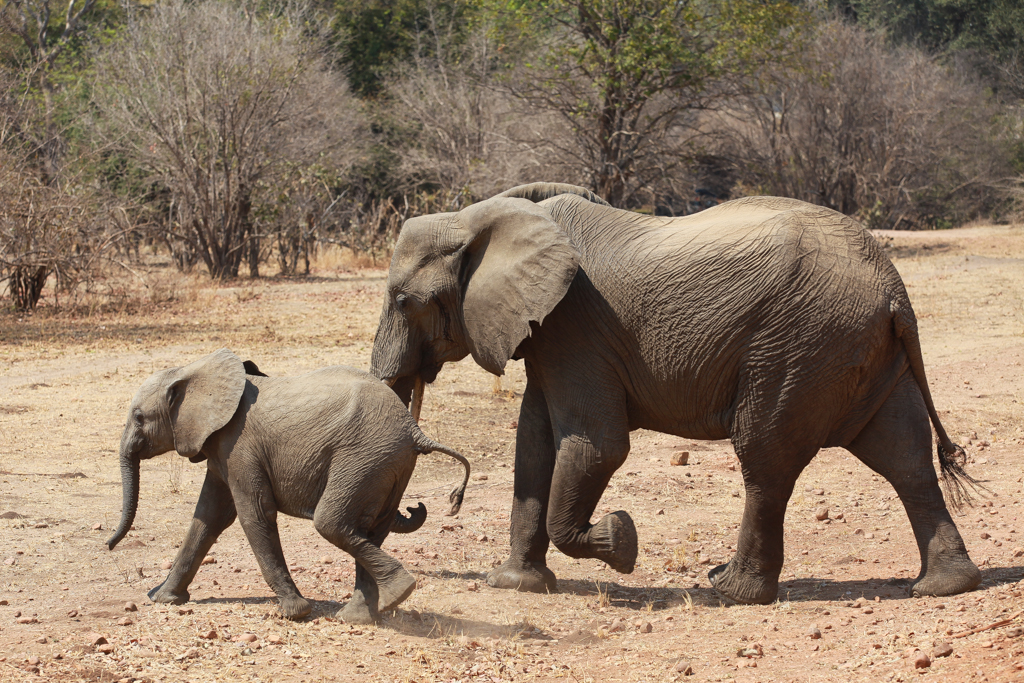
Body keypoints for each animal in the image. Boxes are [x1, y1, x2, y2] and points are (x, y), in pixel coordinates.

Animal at [107, 350, 468, 622]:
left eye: (138, 417)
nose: (109, 546)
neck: (194, 369)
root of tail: (414, 430)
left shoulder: (240, 445)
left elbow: (254, 514)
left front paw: (296, 613)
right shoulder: (221, 448)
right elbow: (208, 517)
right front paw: (164, 599)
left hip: (365, 457)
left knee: (332, 523)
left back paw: (396, 592)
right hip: (386, 465)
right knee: (368, 529)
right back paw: (358, 616)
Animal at [370, 181, 983, 602]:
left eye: (402, 300)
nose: (436, 505)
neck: (483, 215)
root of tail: (894, 287)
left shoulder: (576, 328)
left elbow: (597, 446)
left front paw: (621, 542)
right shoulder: (548, 335)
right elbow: (534, 444)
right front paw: (516, 584)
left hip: (800, 344)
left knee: (766, 458)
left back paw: (729, 591)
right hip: (859, 351)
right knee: (904, 457)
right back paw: (943, 586)